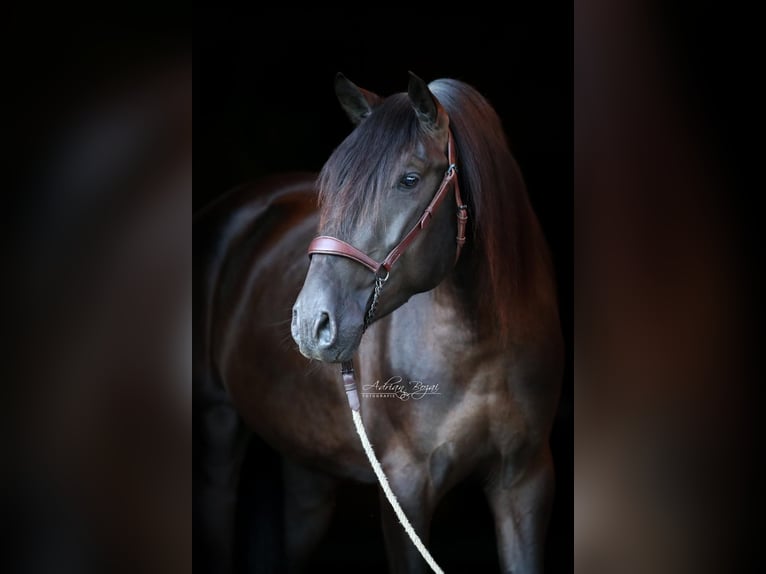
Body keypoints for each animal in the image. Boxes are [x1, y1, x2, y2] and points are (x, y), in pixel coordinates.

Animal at [192, 73, 564, 574]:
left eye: (409, 179)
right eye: (330, 184)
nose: (312, 323)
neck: (479, 342)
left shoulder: (525, 482)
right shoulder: (404, 488)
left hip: (308, 469)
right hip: (216, 428)